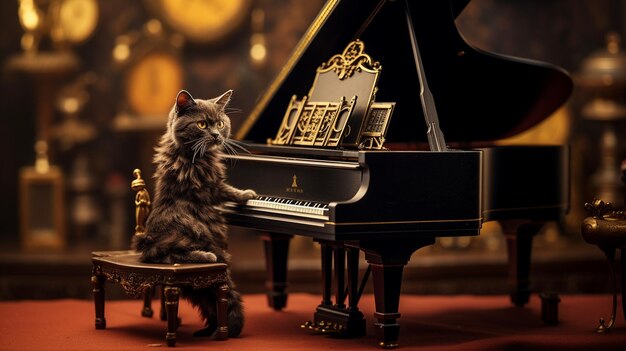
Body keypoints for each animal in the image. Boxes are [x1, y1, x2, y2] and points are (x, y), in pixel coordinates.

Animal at [132, 89, 256, 340]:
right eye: (202, 124)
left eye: (220, 123)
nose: (217, 135)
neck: (195, 155)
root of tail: (146, 241)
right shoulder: (211, 187)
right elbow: (229, 190)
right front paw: (247, 194)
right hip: (188, 233)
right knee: (170, 255)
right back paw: (206, 256)